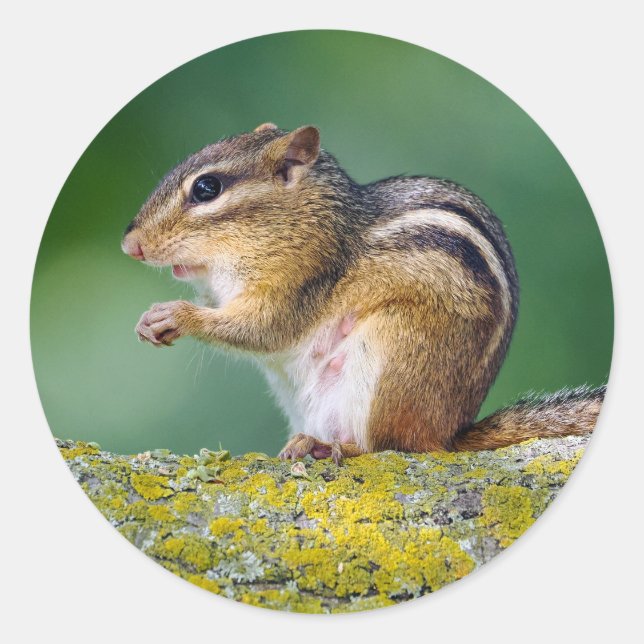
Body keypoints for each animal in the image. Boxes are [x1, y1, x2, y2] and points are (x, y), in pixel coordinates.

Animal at [122, 123, 605, 463]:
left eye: (207, 188)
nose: (130, 245)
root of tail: (450, 431)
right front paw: (149, 320)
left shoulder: (299, 281)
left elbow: (262, 329)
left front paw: (178, 315)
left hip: (394, 353)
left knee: (392, 446)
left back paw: (330, 447)